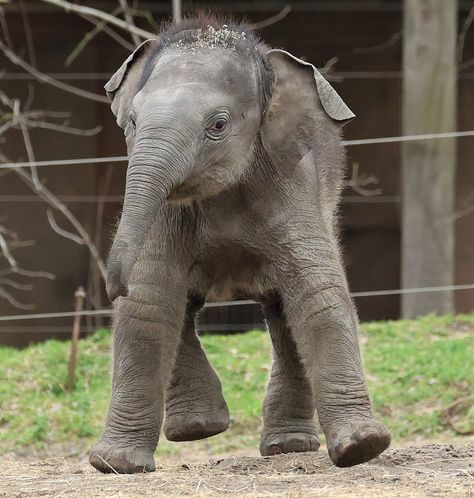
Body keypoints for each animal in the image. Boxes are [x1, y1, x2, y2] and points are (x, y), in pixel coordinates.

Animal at [90, 16, 390, 474]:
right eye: (133, 123)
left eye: (218, 124)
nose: (112, 286)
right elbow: (150, 301)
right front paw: (115, 465)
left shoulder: (291, 181)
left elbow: (319, 294)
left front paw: (363, 447)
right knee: (182, 306)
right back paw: (198, 428)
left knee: (284, 310)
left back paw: (287, 447)